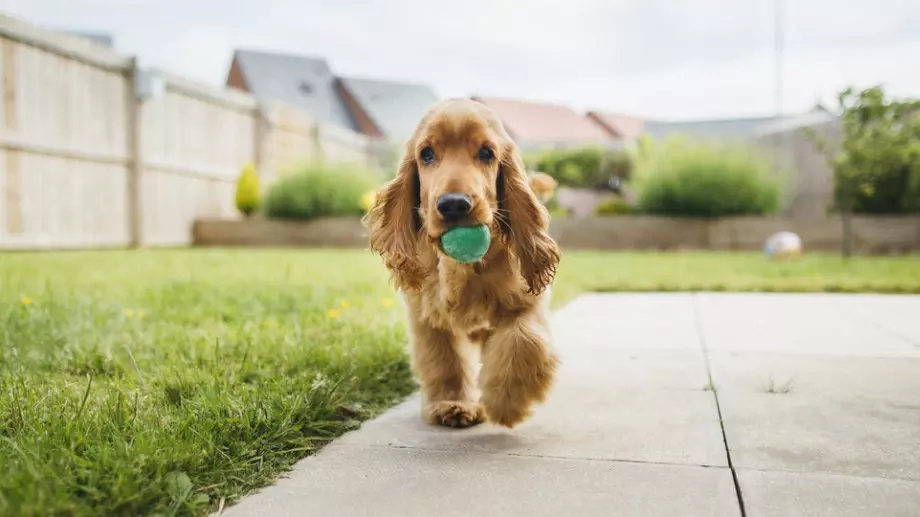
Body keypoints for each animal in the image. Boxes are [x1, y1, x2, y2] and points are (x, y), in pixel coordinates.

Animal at [364, 97, 560, 428]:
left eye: (486, 153)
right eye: (426, 154)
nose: (454, 204)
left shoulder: (525, 302)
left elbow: (523, 341)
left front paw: (507, 401)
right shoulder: (427, 315)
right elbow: (445, 360)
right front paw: (453, 403)